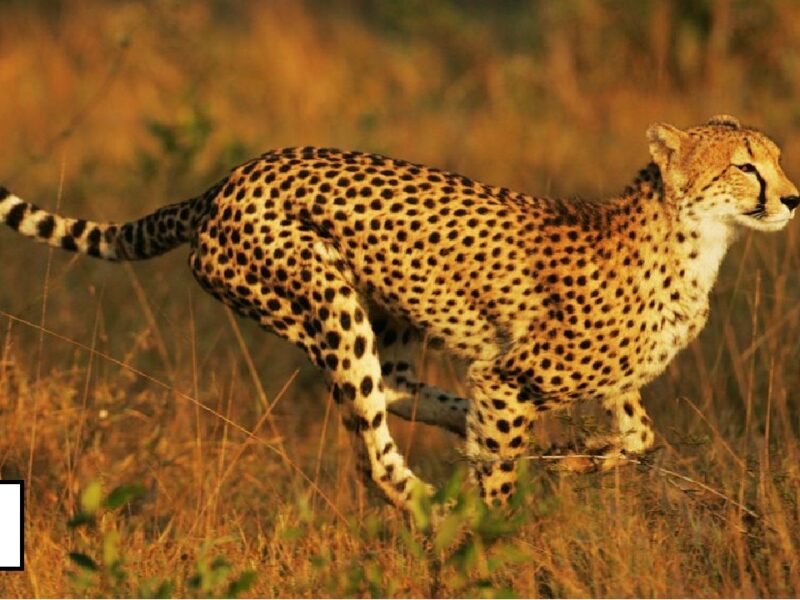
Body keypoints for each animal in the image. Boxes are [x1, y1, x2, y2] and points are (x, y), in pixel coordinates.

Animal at [1, 114, 798, 512]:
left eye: (777, 159)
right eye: (744, 165)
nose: (791, 197)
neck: (695, 240)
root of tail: (229, 179)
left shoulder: (598, 387)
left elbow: (639, 438)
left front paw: (574, 458)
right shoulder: (513, 377)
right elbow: (503, 477)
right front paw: (495, 537)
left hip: (390, 313)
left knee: (399, 390)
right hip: (325, 297)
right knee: (374, 455)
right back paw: (431, 501)